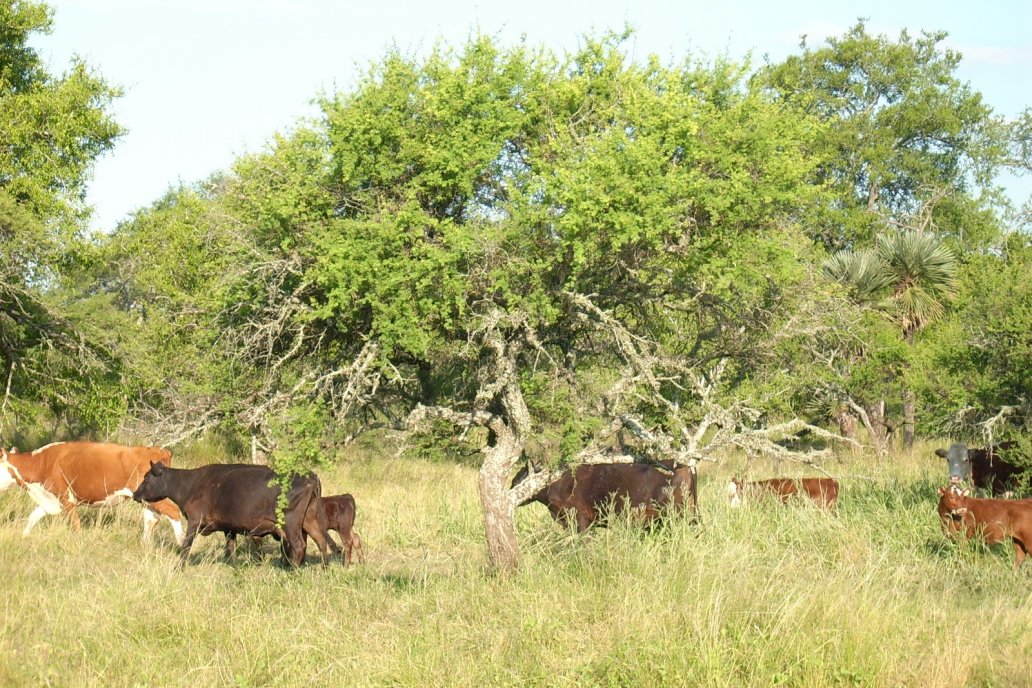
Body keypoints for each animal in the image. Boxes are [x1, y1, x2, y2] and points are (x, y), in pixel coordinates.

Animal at [0, 441, 183, 544]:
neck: (41, 463)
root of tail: (160, 450)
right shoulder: (49, 499)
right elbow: (32, 517)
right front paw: (24, 537)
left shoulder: (66, 498)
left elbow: (75, 523)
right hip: (148, 499)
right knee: (151, 519)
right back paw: (145, 544)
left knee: (173, 512)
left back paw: (181, 543)